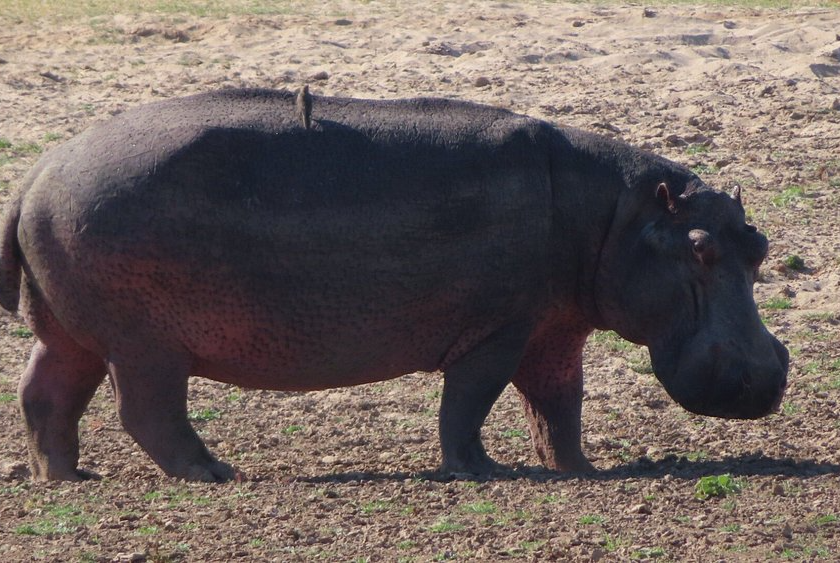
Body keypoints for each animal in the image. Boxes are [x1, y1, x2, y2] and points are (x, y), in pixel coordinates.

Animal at [0, 89, 788, 482]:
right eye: (699, 249)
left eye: (759, 245)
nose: (770, 375)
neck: (618, 217)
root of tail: (38, 171)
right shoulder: (497, 332)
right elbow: (469, 402)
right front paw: (480, 471)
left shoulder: (552, 328)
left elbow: (558, 403)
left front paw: (576, 468)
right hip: (145, 345)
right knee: (148, 412)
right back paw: (214, 472)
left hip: (72, 331)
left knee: (45, 394)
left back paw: (64, 479)